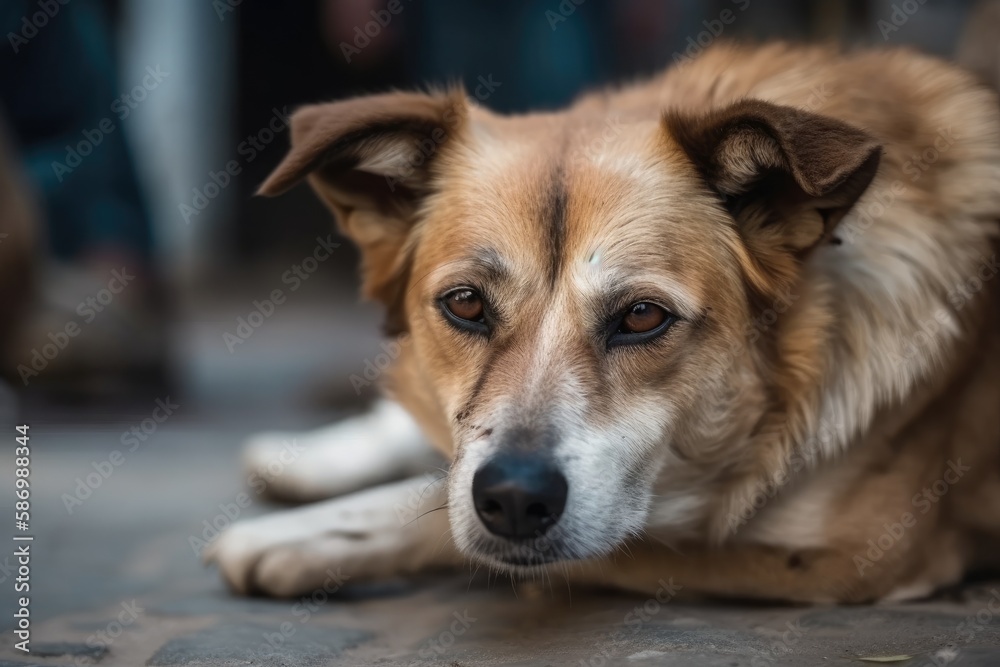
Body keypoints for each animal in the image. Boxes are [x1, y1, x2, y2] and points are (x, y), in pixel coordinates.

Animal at [205, 41, 1000, 604]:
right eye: (465, 304)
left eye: (643, 316)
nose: (513, 498)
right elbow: (451, 491)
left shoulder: (847, 556)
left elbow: (469, 523)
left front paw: (299, 540)